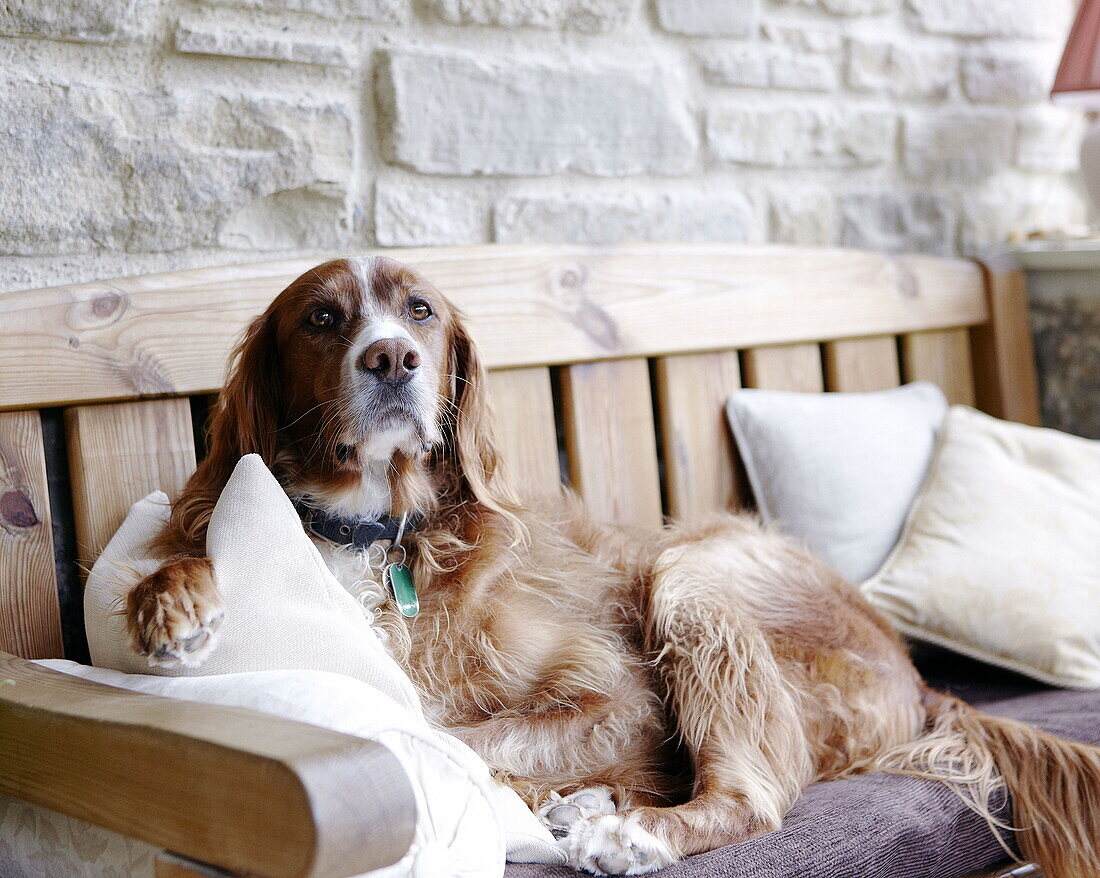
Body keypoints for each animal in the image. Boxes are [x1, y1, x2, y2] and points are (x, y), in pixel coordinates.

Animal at [126, 257, 1100, 875]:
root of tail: (915, 672)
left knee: (758, 793)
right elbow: (196, 548)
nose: (392, 358)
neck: (380, 535)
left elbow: (461, 732)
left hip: (691, 570)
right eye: (322, 319)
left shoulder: (627, 695)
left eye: (421, 313)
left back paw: (633, 837)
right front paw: (167, 602)